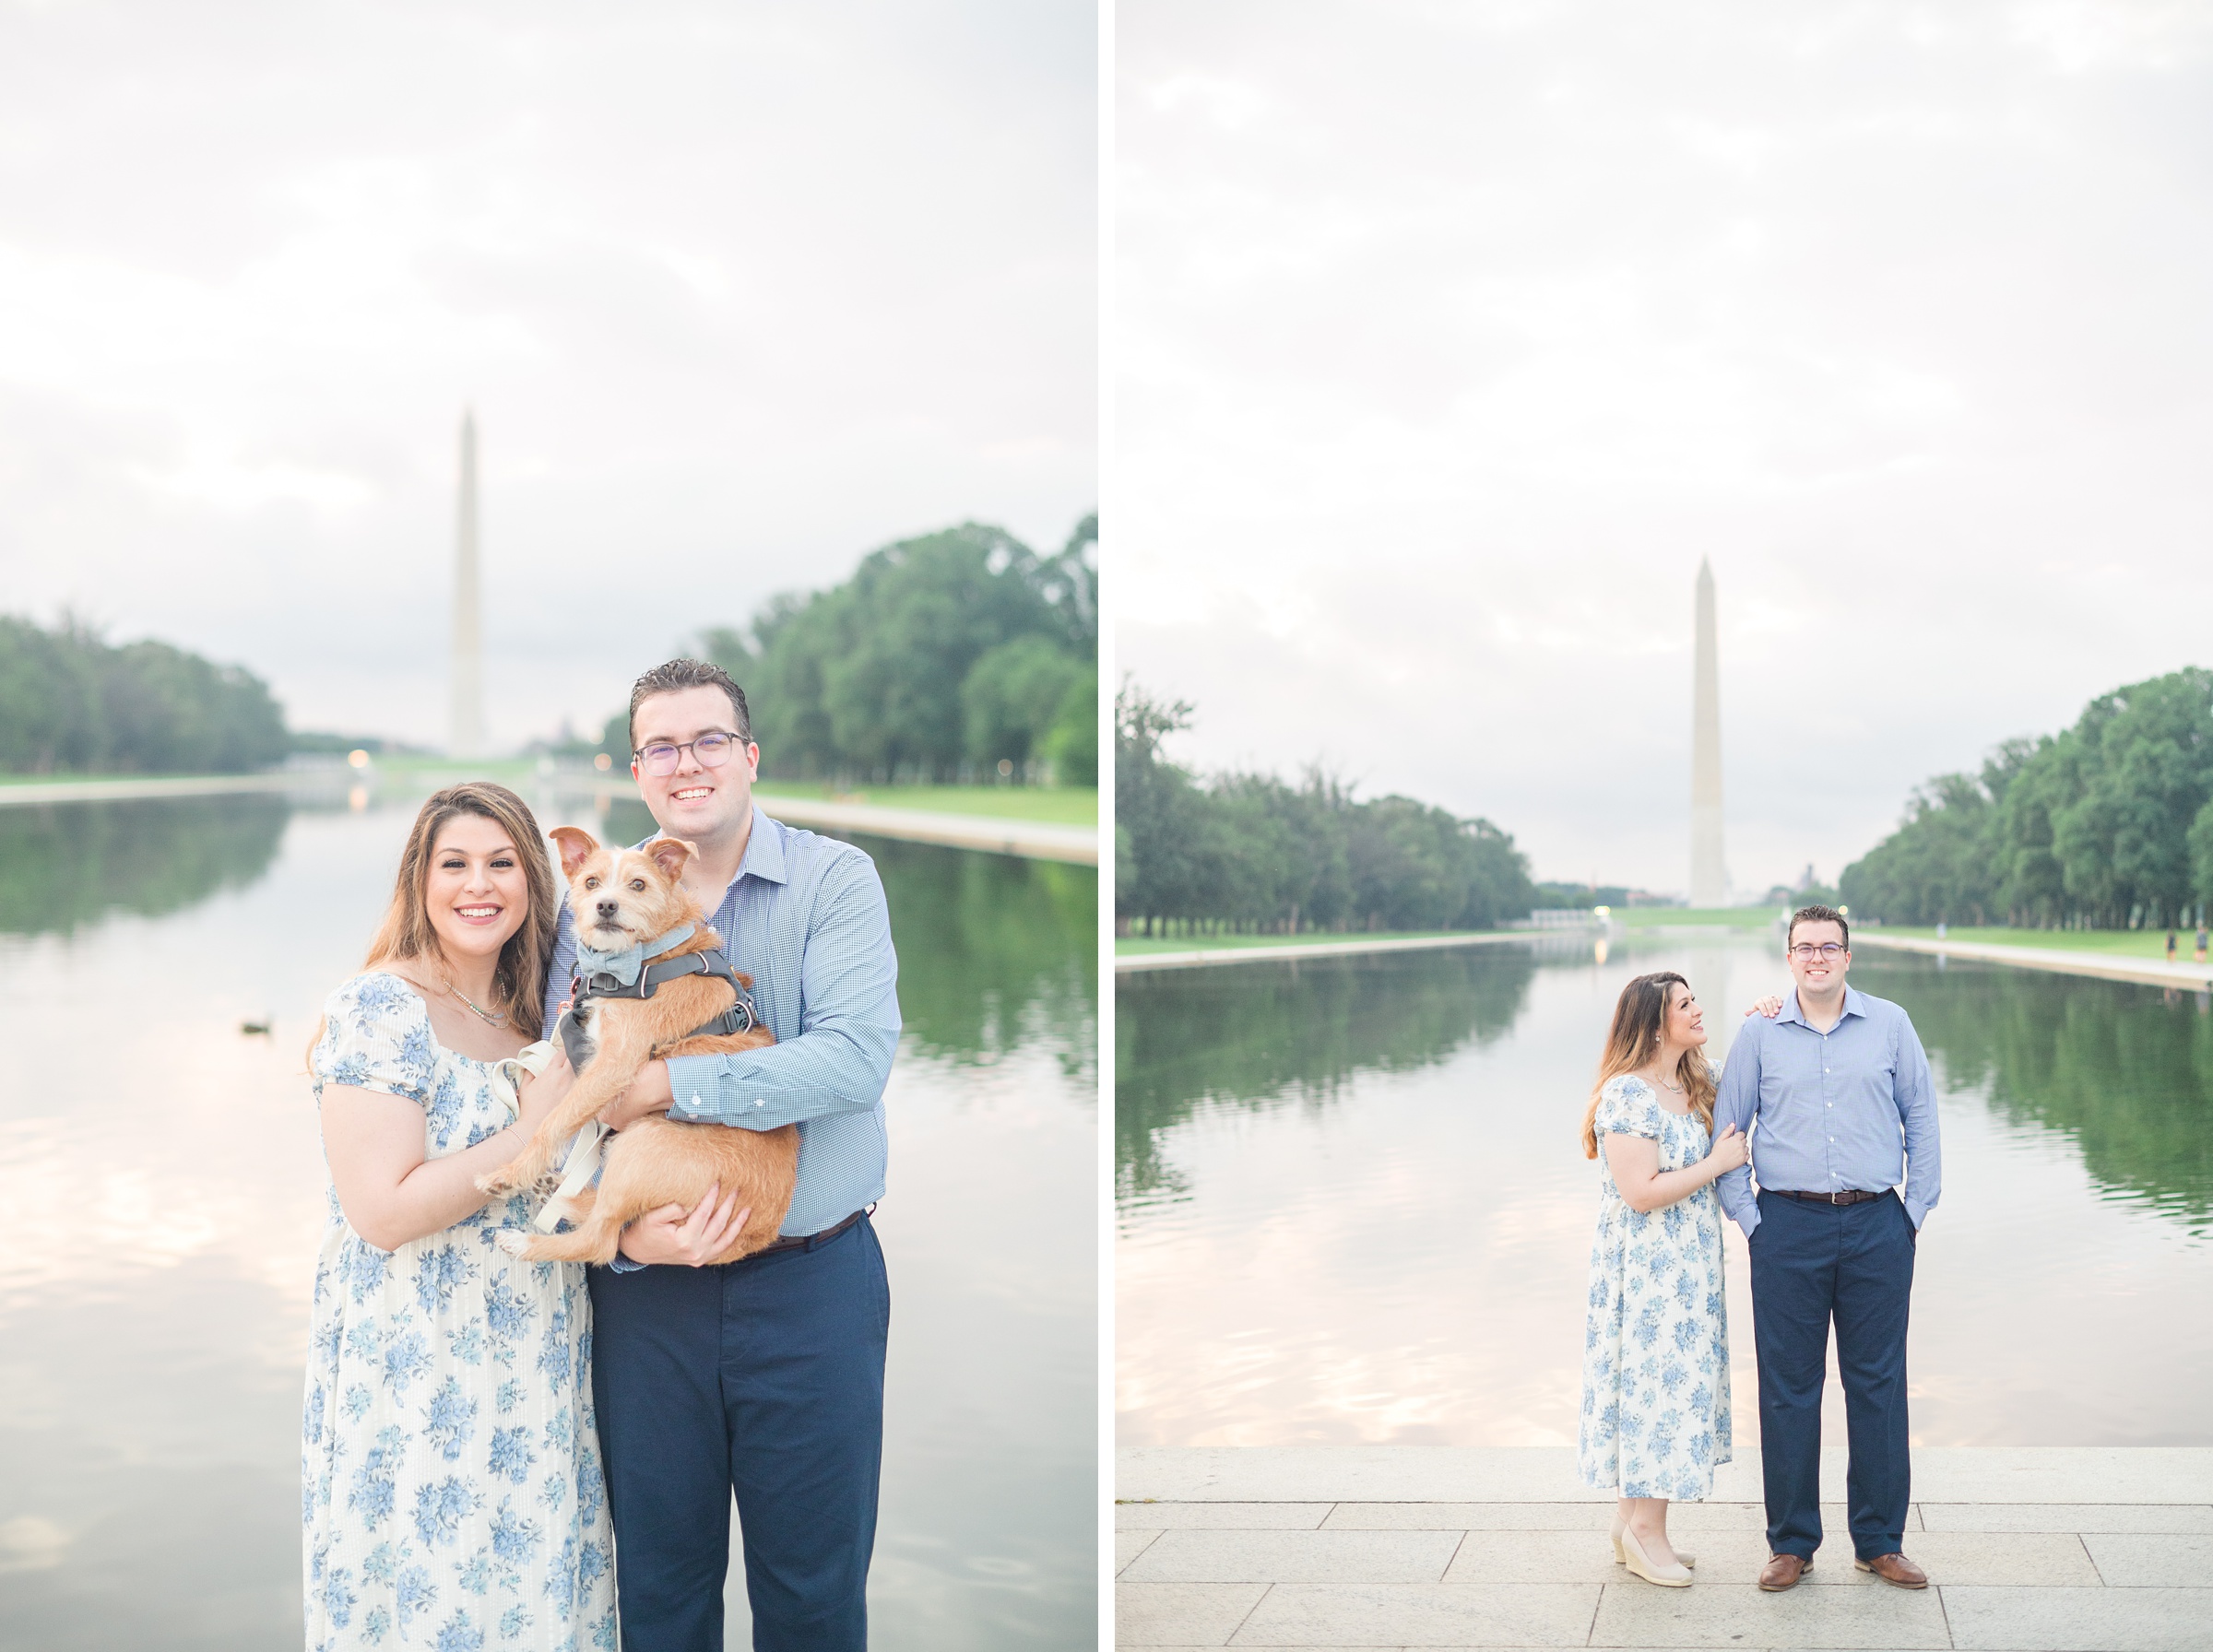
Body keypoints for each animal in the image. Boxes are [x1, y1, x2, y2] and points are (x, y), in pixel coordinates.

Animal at [476, 827, 797, 1265]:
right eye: (591, 882)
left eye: (639, 885)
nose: (606, 905)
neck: (645, 959)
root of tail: (754, 1236)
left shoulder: (614, 1063)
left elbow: (554, 1121)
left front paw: (508, 1175)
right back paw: (555, 1189)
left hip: (642, 1144)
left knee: (601, 1239)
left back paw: (526, 1240)